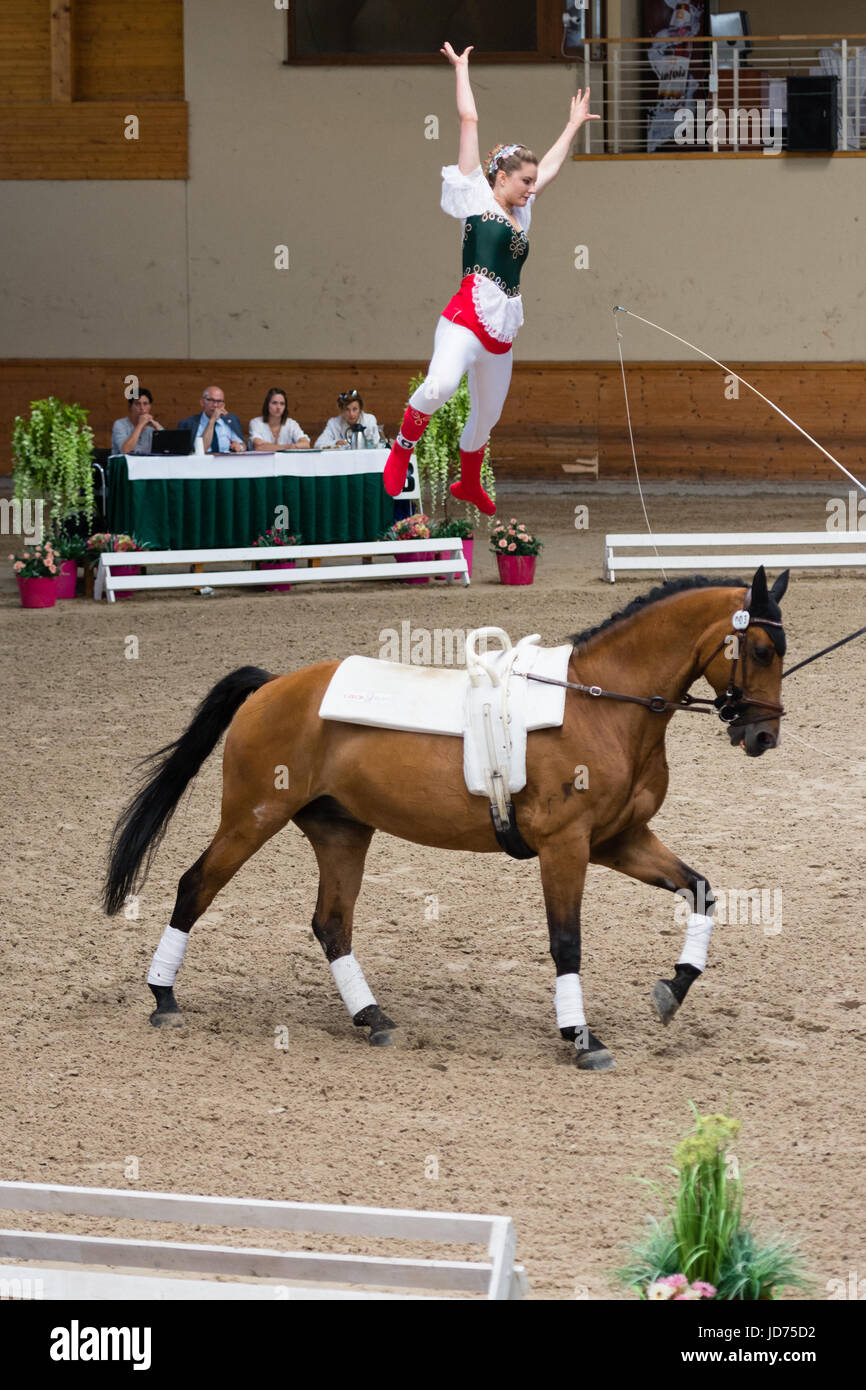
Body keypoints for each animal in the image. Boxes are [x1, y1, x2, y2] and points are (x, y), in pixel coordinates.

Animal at [104, 564, 789, 1073]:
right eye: (759, 648)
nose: (762, 736)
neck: (604, 705)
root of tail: (272, 686)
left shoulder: (619, 840)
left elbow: (700, 890)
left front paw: (672, 990)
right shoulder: (566, 846)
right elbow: (567, 941)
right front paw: (582, 1039)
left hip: (340, 830)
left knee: (332, 924)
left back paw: (373, 1020)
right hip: (253, 814)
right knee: (196, 886)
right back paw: (163, 998)